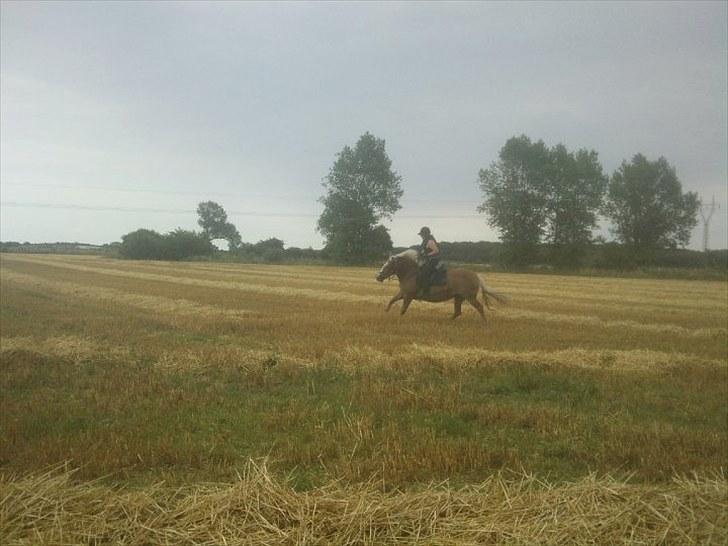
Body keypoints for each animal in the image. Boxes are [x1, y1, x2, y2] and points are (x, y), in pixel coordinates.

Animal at [376, 249, 506, 320]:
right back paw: (447, 321)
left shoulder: (408, 296)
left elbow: (403, 309)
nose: (378, 277)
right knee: (457, 312)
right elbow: (391, 301)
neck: (410, 273)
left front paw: (398, 319)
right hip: (458, 297)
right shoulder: (403, 293)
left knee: (479, 307)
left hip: (469, 297)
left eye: (387, 265)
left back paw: (485, 323)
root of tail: (476, 275)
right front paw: (385, 312)